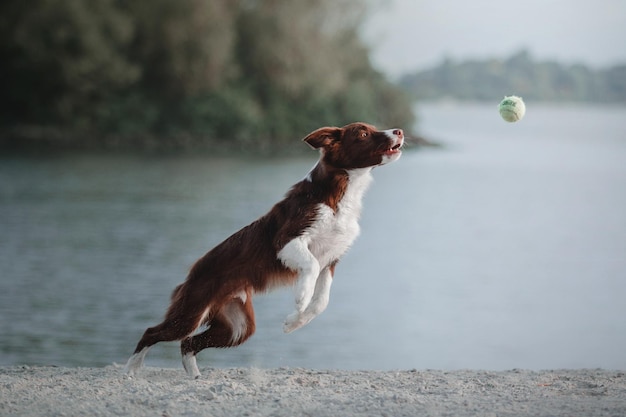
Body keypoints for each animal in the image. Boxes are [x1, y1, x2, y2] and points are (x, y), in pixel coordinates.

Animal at [124, 121, 402, 376]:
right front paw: (301, 297)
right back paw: (132, 369)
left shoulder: (331, 259)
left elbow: (321, 301)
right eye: (363, 133)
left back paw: (194, 376)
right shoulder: (287, 240)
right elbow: (309, 269)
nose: (399, 131)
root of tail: (190, 275)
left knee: (189, 343)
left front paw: (293, 323)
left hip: (238, 327)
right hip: (192, 311)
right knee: (153, 332)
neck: (341, 191)